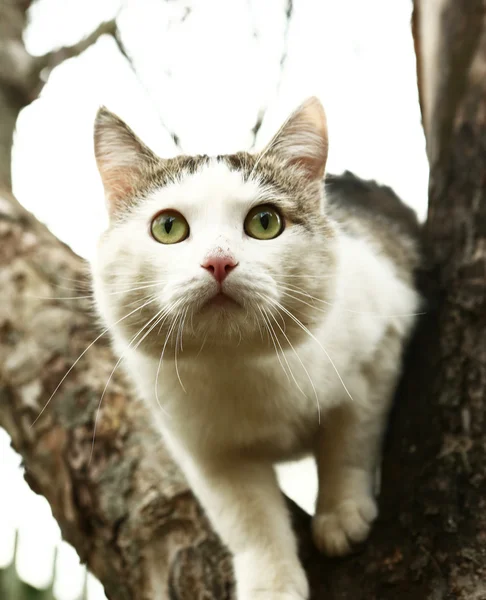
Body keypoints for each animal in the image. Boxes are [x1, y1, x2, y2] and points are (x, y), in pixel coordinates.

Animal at [90, 98, 422, 600]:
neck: (239, 363)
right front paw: (272, 582)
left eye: (265, 222)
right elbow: (248, 520)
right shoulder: (206, 451)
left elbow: (350, 443)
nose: (219, 262)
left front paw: (341, 513)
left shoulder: (377, 351)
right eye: (168, 227)